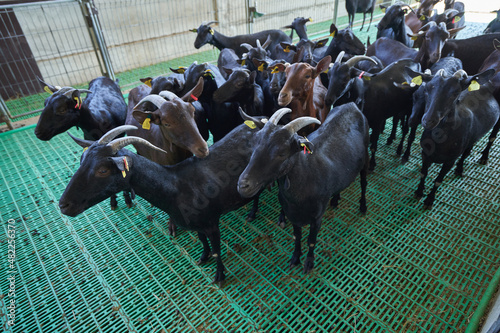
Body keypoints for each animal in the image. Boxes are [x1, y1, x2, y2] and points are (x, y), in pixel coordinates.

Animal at [60, 119, 266, 286]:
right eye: (81, 161)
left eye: (103, 170)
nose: (63, 205)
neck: (177, 186)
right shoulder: (197, 224)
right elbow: (202, 240)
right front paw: (202, 257)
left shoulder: (211, 222)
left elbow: (217, 250)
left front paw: (220, 277)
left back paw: (252, 213)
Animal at [236, 105, 370, 272]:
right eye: (254, 143)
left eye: (282, 153)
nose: (243, 184)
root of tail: (351, 105)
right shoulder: (293, 214)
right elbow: (297, 236)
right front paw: (295, 258)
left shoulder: (317, 217)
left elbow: (311, 240)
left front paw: (309, 263)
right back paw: (335, 199)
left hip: (365, 156)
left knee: (364, 182)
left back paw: (363, 206)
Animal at [404, 68, 498, 208]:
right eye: (427, 89)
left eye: (455, 92)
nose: (428, 121)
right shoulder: (425, 154)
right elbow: (423, 173)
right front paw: (419, 192)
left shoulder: (450, 160)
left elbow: (438, 181)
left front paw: (429, 200)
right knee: (468, 149)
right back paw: (459, 168)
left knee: (491, 138)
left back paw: (483, 158)